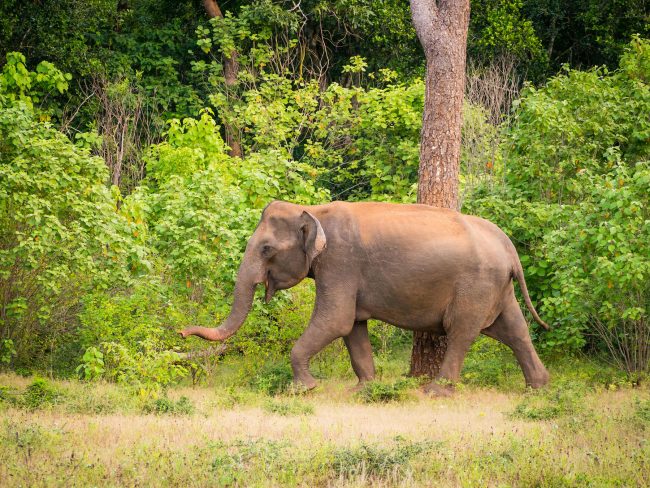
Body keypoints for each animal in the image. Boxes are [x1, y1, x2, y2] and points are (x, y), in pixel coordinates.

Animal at [180, 200, 548, 394]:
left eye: (267, 249)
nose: (181, 332)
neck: (313, 211)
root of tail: (508, 246)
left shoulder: (340, 262)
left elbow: (336, 320)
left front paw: (304, 389)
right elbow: (352, 326)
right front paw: (365, 389)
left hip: (476, 286)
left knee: (461, 332)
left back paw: (434, 392)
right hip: (498, 287)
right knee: (515, 330)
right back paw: (538, 386)